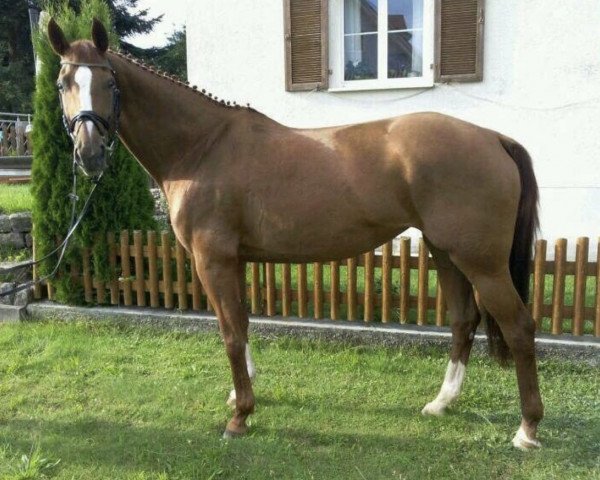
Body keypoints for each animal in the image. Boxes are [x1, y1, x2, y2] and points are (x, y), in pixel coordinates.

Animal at [48, 16, 544, 448]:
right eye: (62, 84)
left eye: (110, 84)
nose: (89, 154)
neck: (202, 147)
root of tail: (493, 137)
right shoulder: (229, 261)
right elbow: (241, 325)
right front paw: (241, 395)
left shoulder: (213, 260)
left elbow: (231, 334)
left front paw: (240, 417)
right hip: (446, 252)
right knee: (464, 321)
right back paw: (441, 403)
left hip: (482, 263)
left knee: (519, 326)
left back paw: (527, 430)